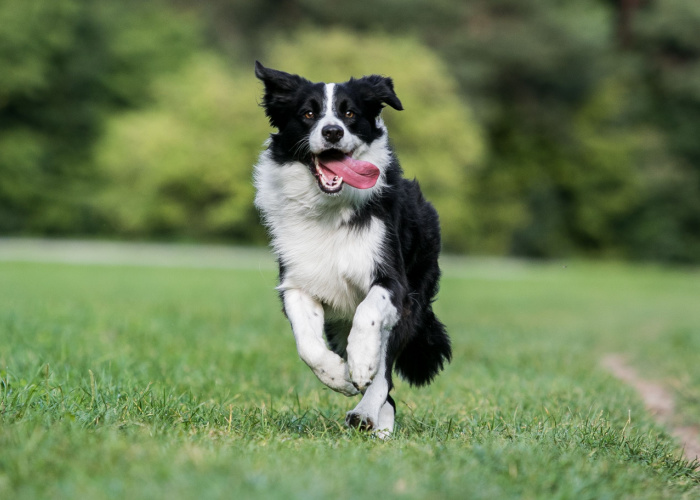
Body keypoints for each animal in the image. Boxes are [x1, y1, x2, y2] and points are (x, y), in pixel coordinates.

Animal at [254, 62, 452, 436]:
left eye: (350, 113)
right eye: (308, 113)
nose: (332, 132)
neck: (330, 210)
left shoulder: (393, 282)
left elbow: (369, 315)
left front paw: (359, 364)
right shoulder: (297, 282)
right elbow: (307, 344)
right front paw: (338, 376)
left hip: (413, 302)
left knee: (385, 373)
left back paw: (368, 414)